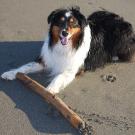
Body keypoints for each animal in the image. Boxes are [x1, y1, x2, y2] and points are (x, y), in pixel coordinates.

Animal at [1, 6, 135, 93]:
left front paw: (49, 91)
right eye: (60, 21)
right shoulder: (46, 59)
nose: (64, 33)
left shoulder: (72, 69)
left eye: (72, 22)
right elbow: (25, 67)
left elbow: (58, 78)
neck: (64, 47)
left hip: (122, 33)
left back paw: (114, 56)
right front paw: (10, 73)